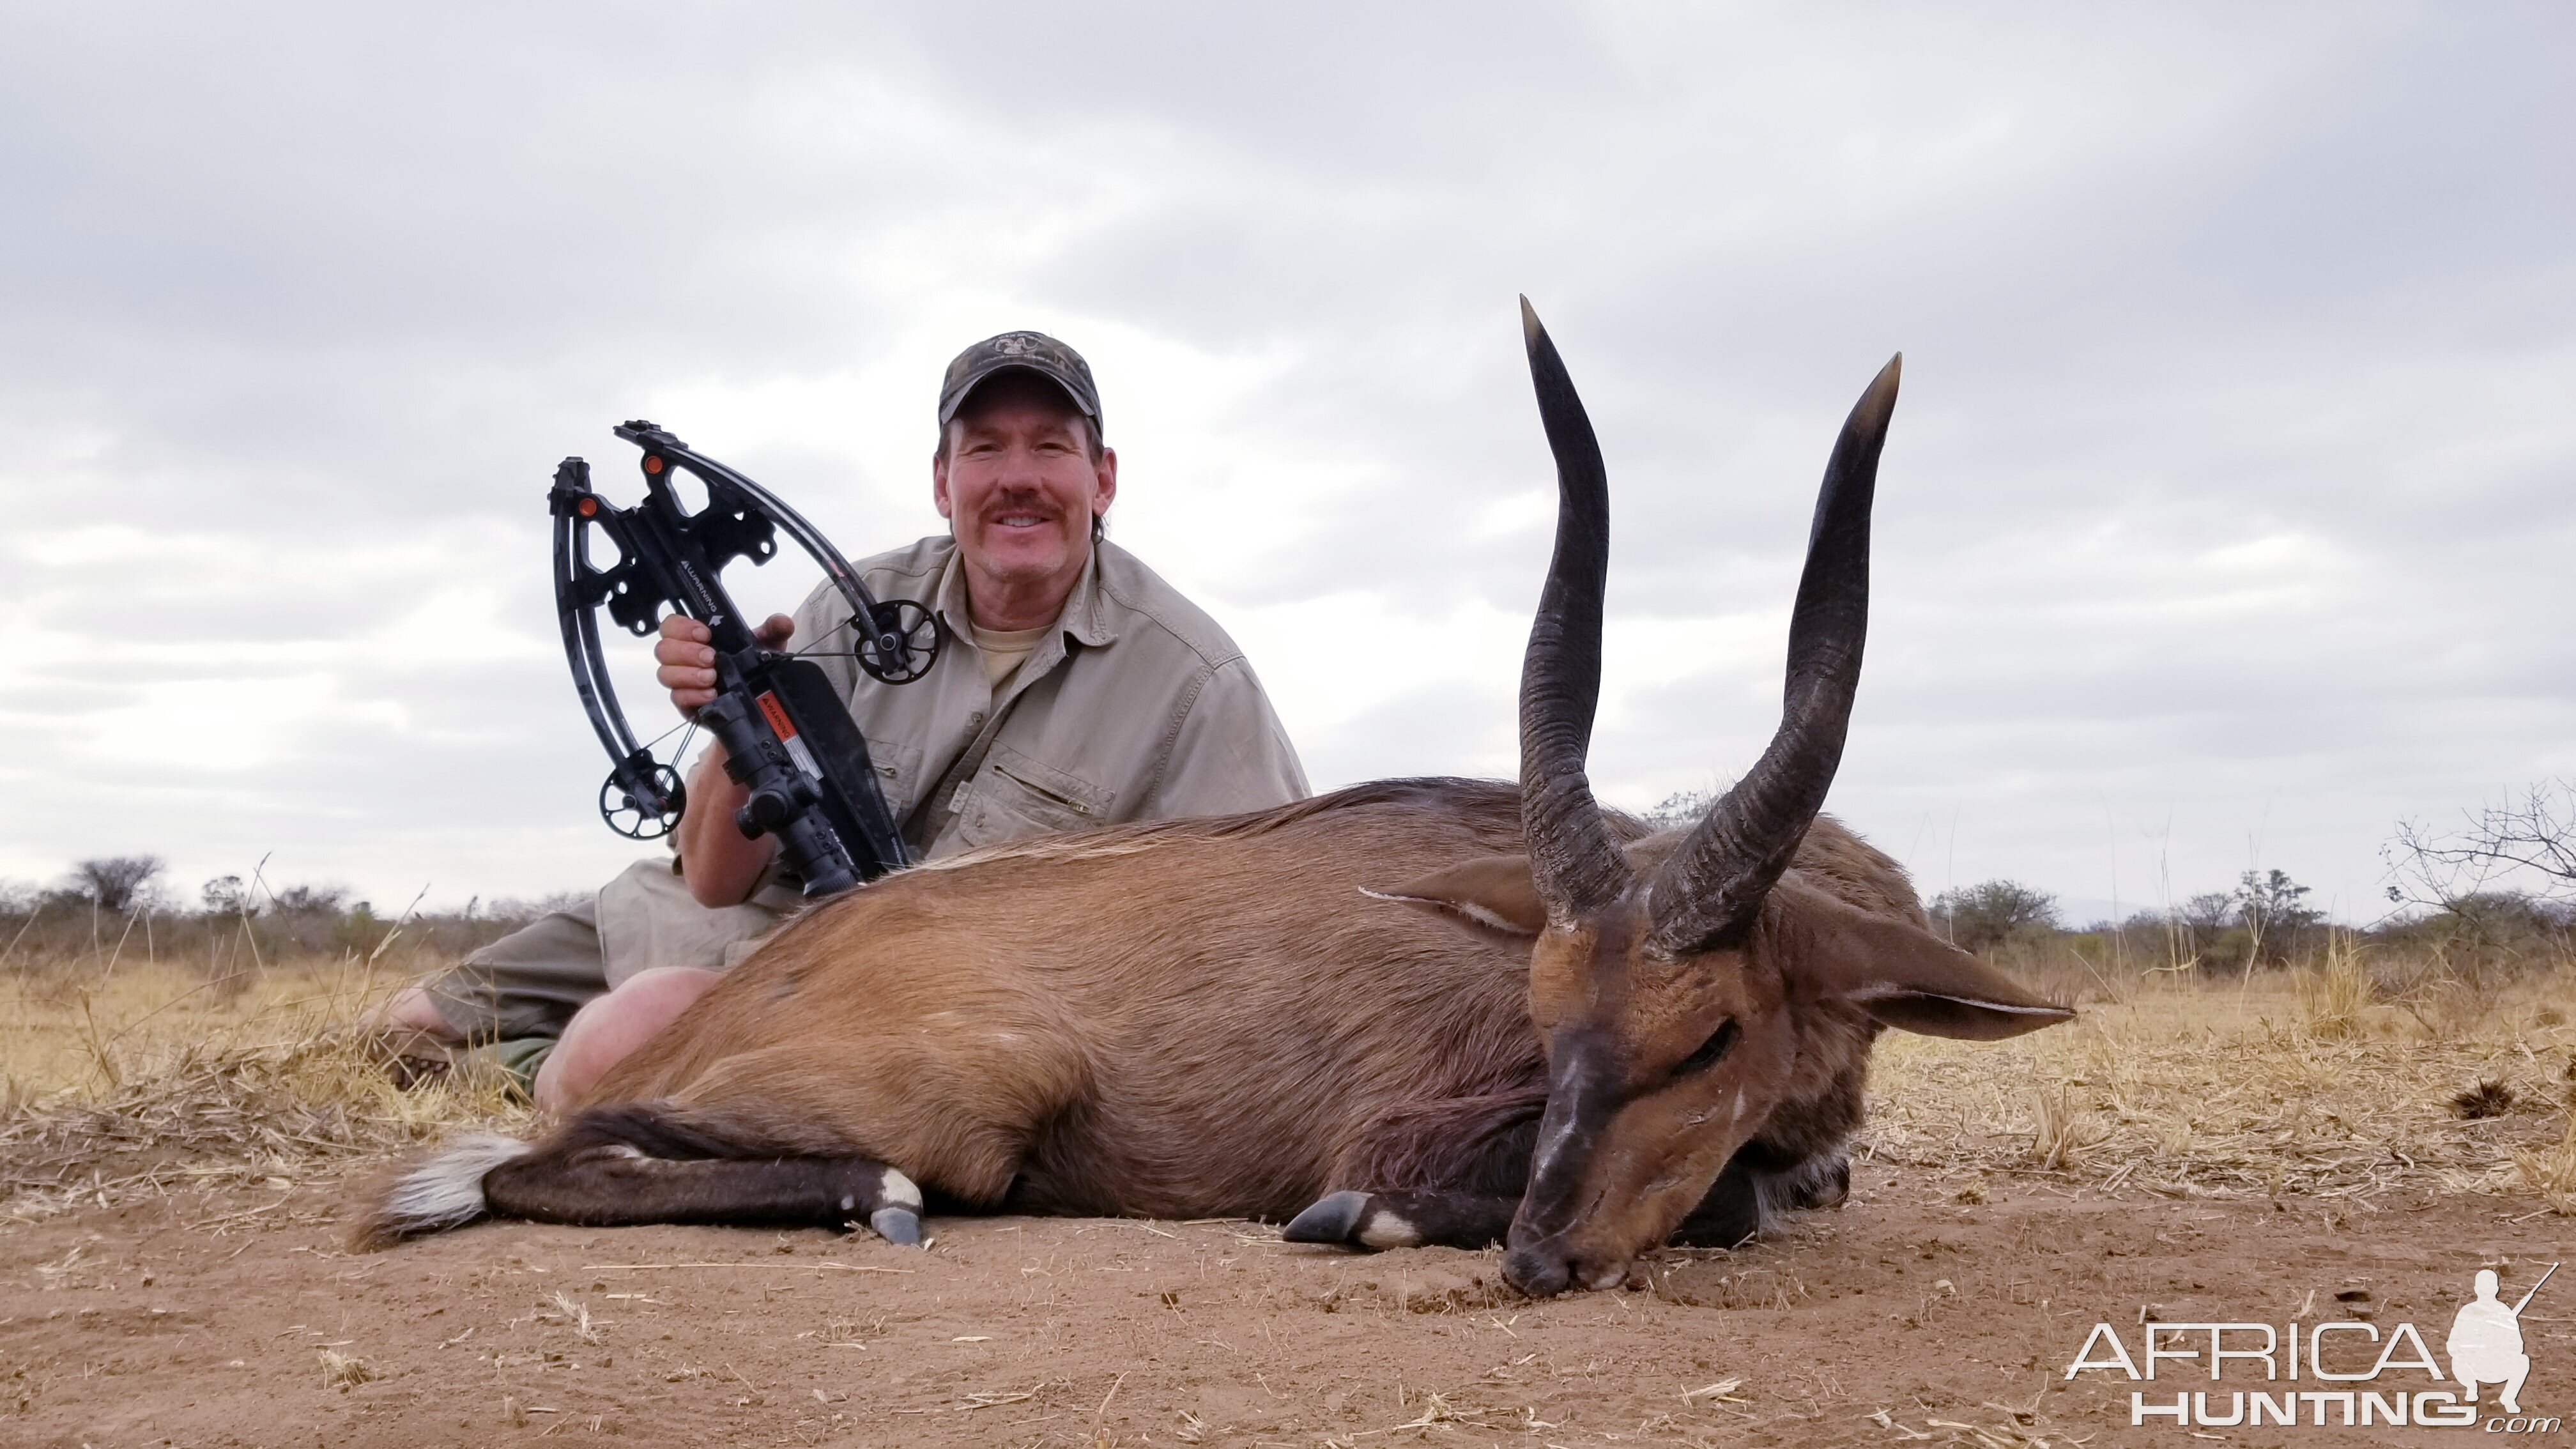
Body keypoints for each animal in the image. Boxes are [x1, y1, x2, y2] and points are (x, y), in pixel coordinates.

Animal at [358, 299, 2071, 1289]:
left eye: (1709, 1031)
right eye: (1544, 998)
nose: (1539, 1258)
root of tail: (766, 981)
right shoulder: (1413, 1123)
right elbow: (1728, 1200)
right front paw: (1361, 1221)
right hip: (973, 1099)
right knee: (530, 1160)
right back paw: (879, 1196)